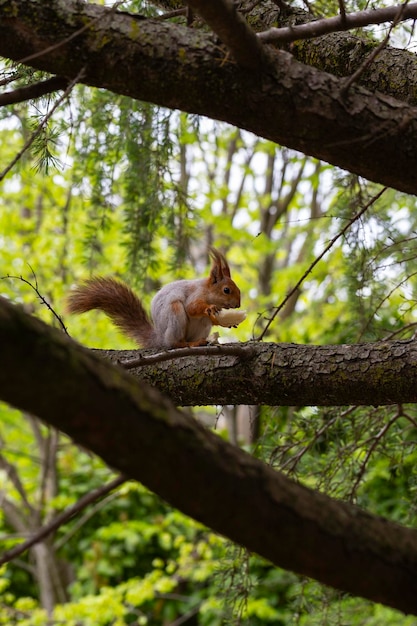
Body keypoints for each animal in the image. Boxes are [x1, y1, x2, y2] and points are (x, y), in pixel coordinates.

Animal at [66, 247, 240, 346]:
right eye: (226, 290)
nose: (238, 305)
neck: (206, 290)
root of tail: (160, 338)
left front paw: (224, 321)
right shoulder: (195, 294)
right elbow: (192, 308)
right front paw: (210, 308)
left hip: (202, 327)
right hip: (175, 315)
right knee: (174, 343)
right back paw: (190, 344)